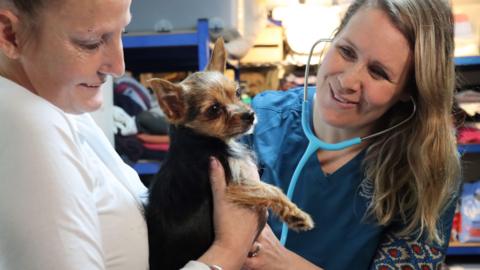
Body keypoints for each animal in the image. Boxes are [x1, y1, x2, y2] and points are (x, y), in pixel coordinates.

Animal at [144, 38, 314, 270]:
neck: (202, 139)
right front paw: (297, 215)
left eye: (237, 92)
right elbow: (272, 190)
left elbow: (269, 188)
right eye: (214, 109)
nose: (250, 115)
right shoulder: (233, 186)